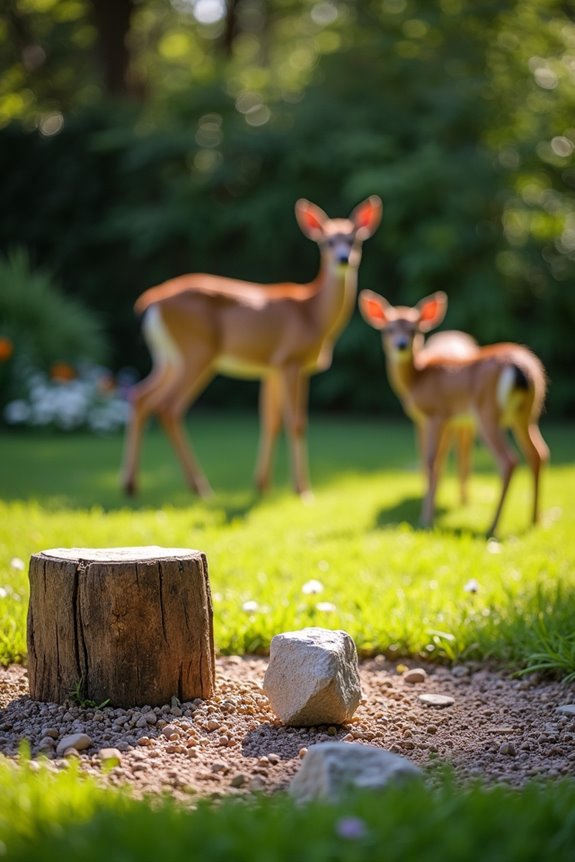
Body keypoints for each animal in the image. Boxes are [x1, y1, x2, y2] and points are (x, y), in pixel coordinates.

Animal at [121, 196, 382, 499]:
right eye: (327, 241)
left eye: (355, 239)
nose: (343, 258)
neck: (312, 313)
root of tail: (150, 303)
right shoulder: (290, 361)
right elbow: (297, 423)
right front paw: (302, 490)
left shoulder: (272, 368)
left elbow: (270, 421)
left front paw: (262, 486)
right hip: (197, 351)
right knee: (168, 407)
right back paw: (200, 488)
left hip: (168, 358)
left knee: (140, 397)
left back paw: (131, 485)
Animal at [358, 289, 549, 536]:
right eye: (388, 329)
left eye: (414, 329)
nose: (401, 344)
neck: (418, 378)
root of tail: (521, 369)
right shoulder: (438, 420)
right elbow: (435, 460)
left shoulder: (436, 414)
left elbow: (431, 461)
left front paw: (426, 518)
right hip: (527, 413)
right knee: (538, 453)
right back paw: (534, 520)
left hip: (487, 412)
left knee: (508, 460)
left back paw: (492, 527)